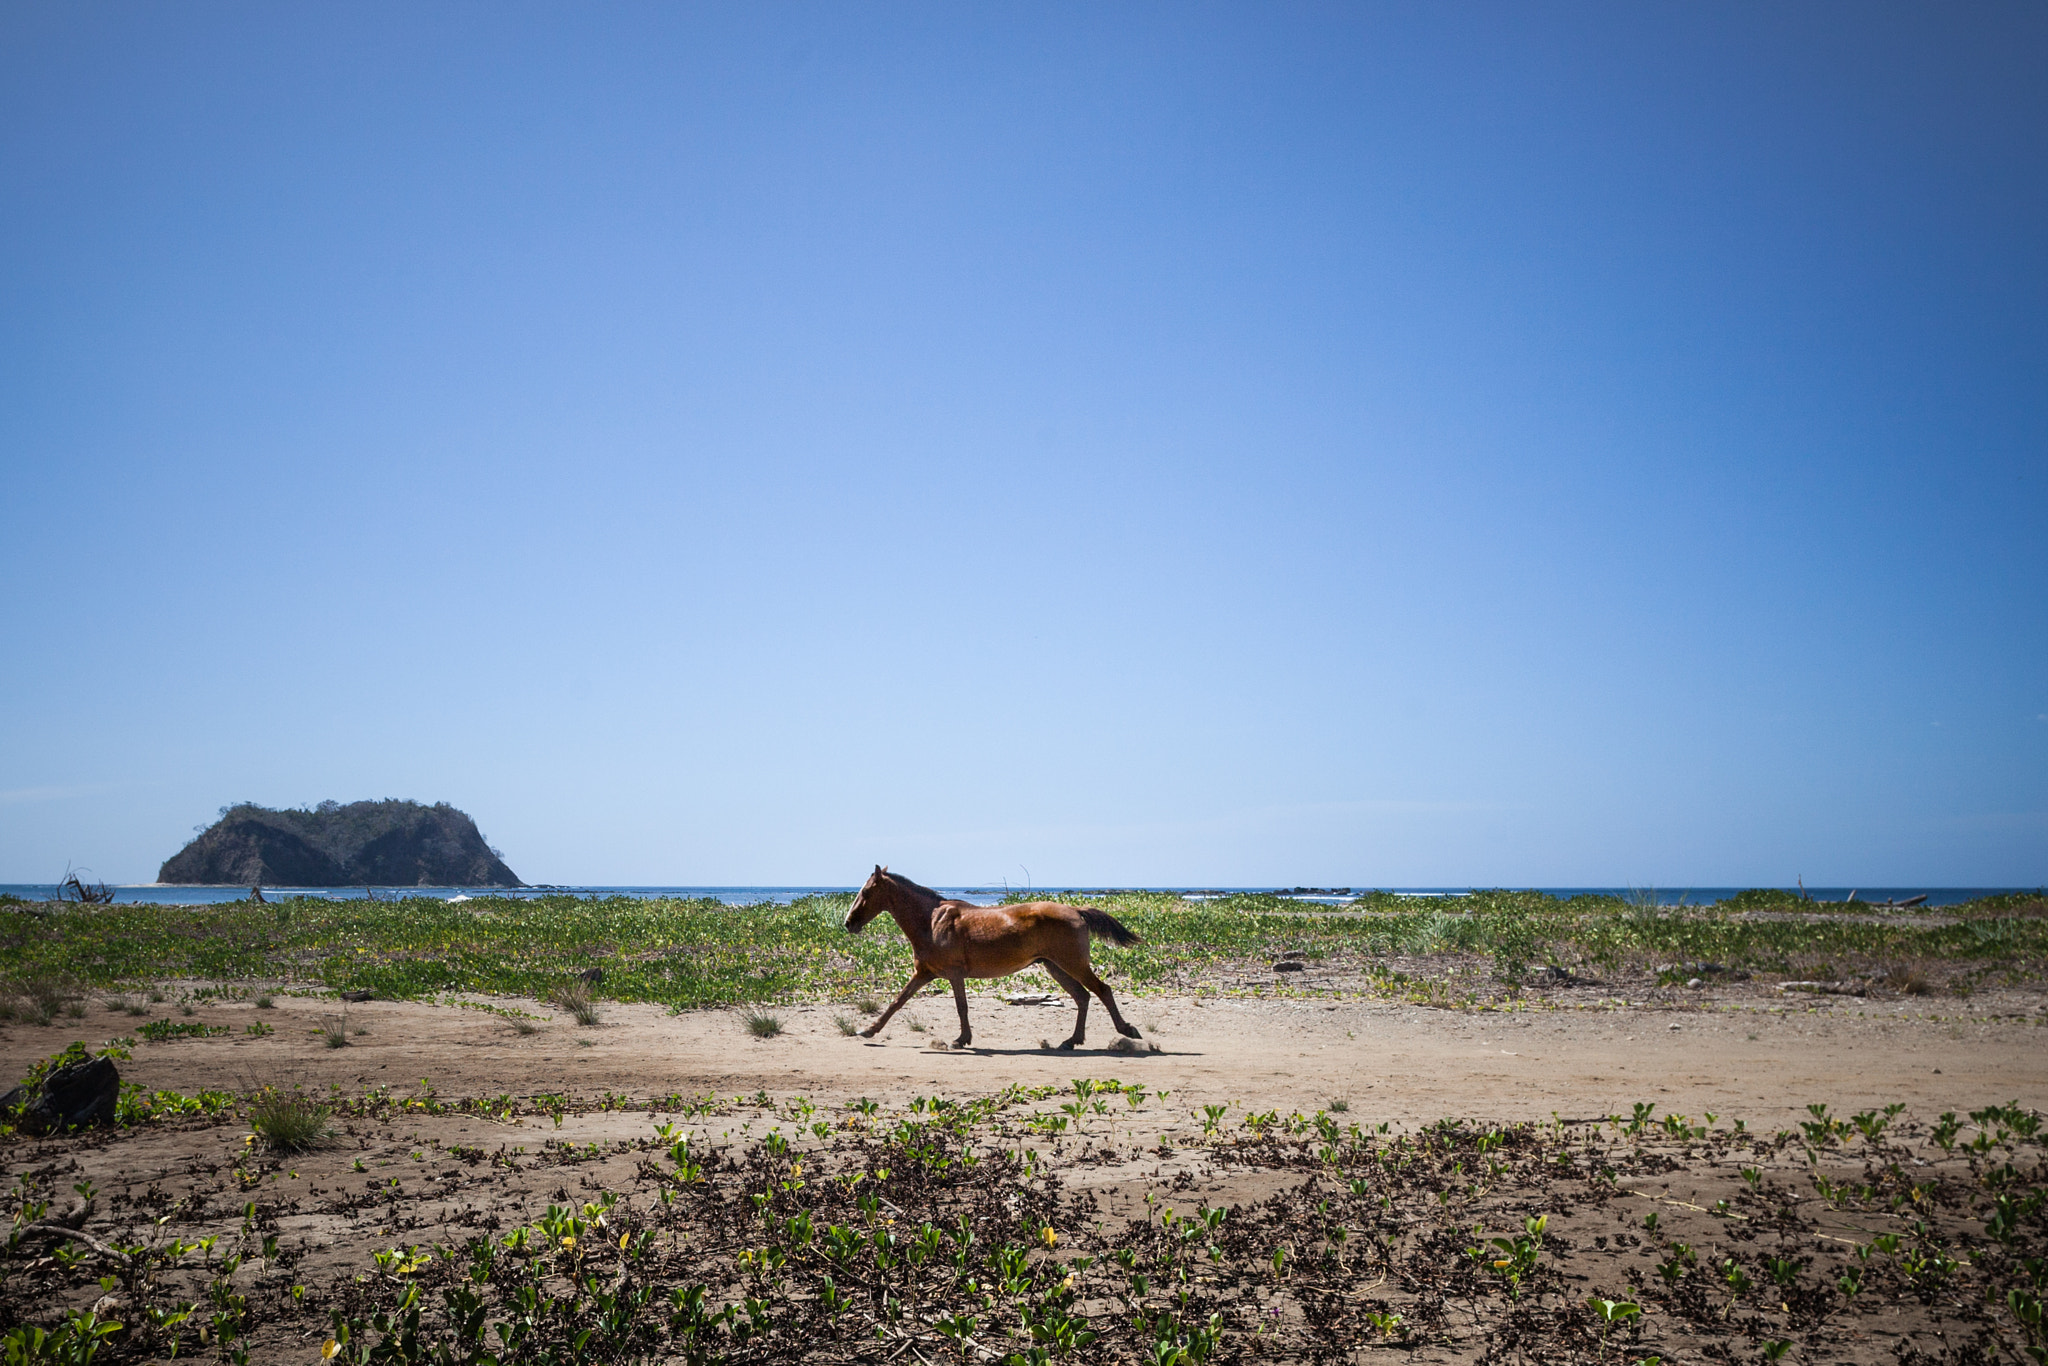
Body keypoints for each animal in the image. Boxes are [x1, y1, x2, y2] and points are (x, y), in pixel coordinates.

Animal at [839, 872, 1146, 1056]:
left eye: (866, 892)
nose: (848, 923)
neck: (931, 921)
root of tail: (1076, 910)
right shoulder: (925, 973)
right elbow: (897, 1001)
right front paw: (869, 1030)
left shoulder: (953, 974)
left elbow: (961, 1007)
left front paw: (961, 1039)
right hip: (1054, 966)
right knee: (1082, 996)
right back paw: (1070, 1041)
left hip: (1072, 963)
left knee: (1101, 990)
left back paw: (1127, 1030)